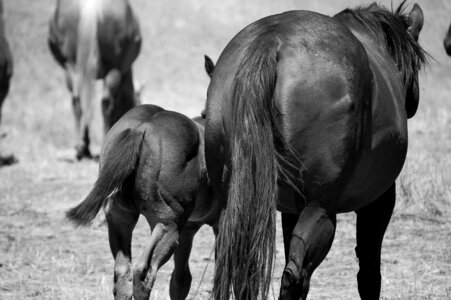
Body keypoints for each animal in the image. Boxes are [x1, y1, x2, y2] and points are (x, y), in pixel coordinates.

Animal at [207, 2, 430, 300]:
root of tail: (272, 40)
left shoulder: (291, 209)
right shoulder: (380, 200)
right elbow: (369, 272)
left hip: (232, 203)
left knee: (242, 265)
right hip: (320, 209)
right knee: (295, 276)